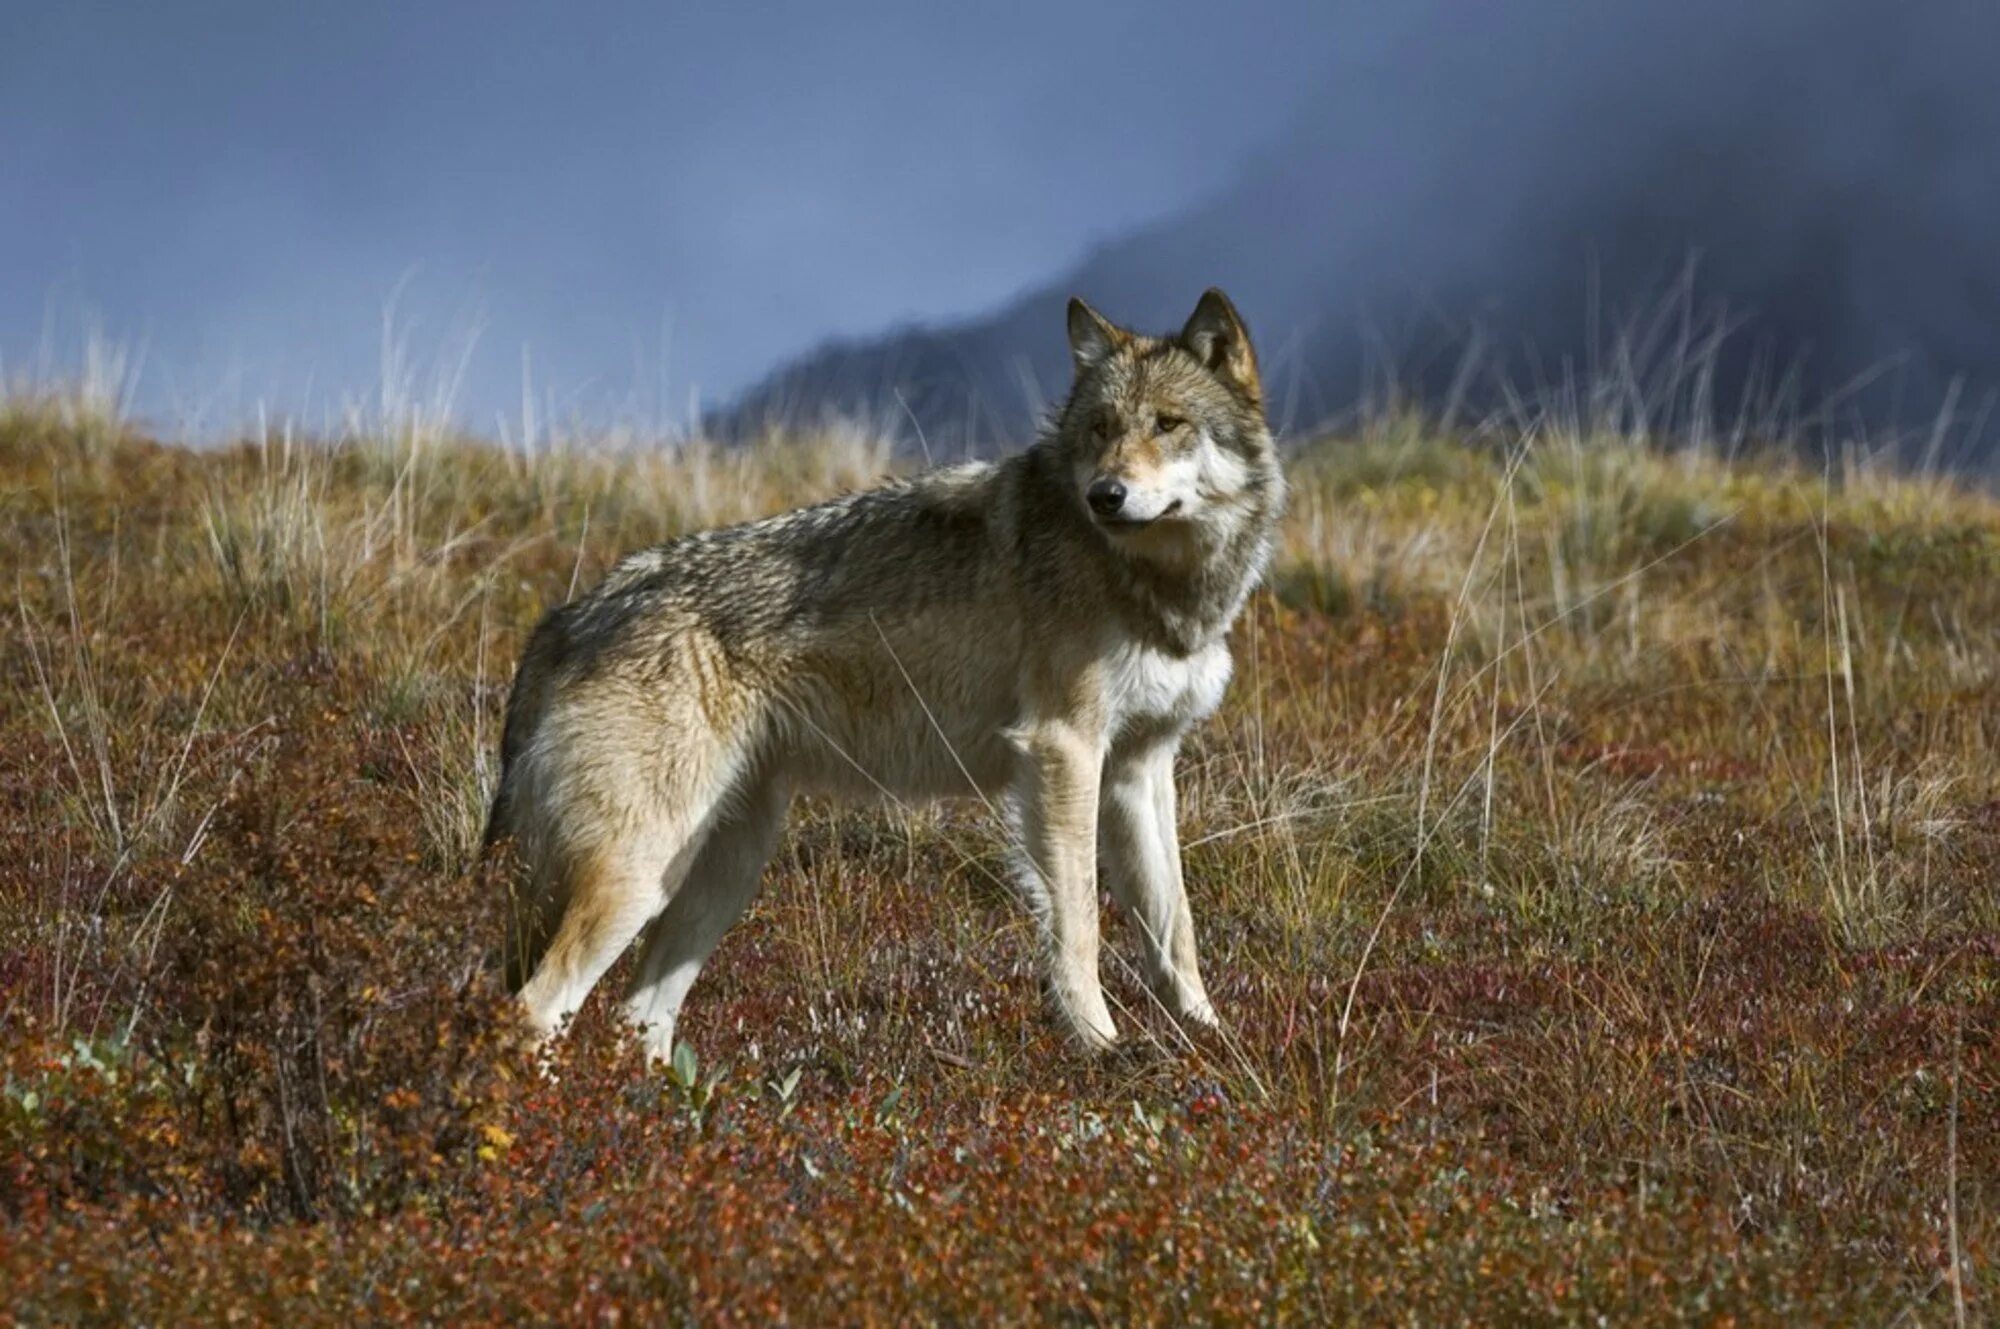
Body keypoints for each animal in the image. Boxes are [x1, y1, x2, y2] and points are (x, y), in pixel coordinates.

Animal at [492, 288, 1288, 1056]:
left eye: (1169, 423)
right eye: (1099, 428)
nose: (1105, 496)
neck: (1157, 587)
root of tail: (568, 616)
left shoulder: (1141, 766)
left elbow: (1176, 930)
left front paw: (1209, 1043)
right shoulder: (1063, 750)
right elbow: (1080, 926)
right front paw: (1098, 1047)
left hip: (722, 872)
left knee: (641, 1019)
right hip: (640, 876)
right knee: (534, 1009)